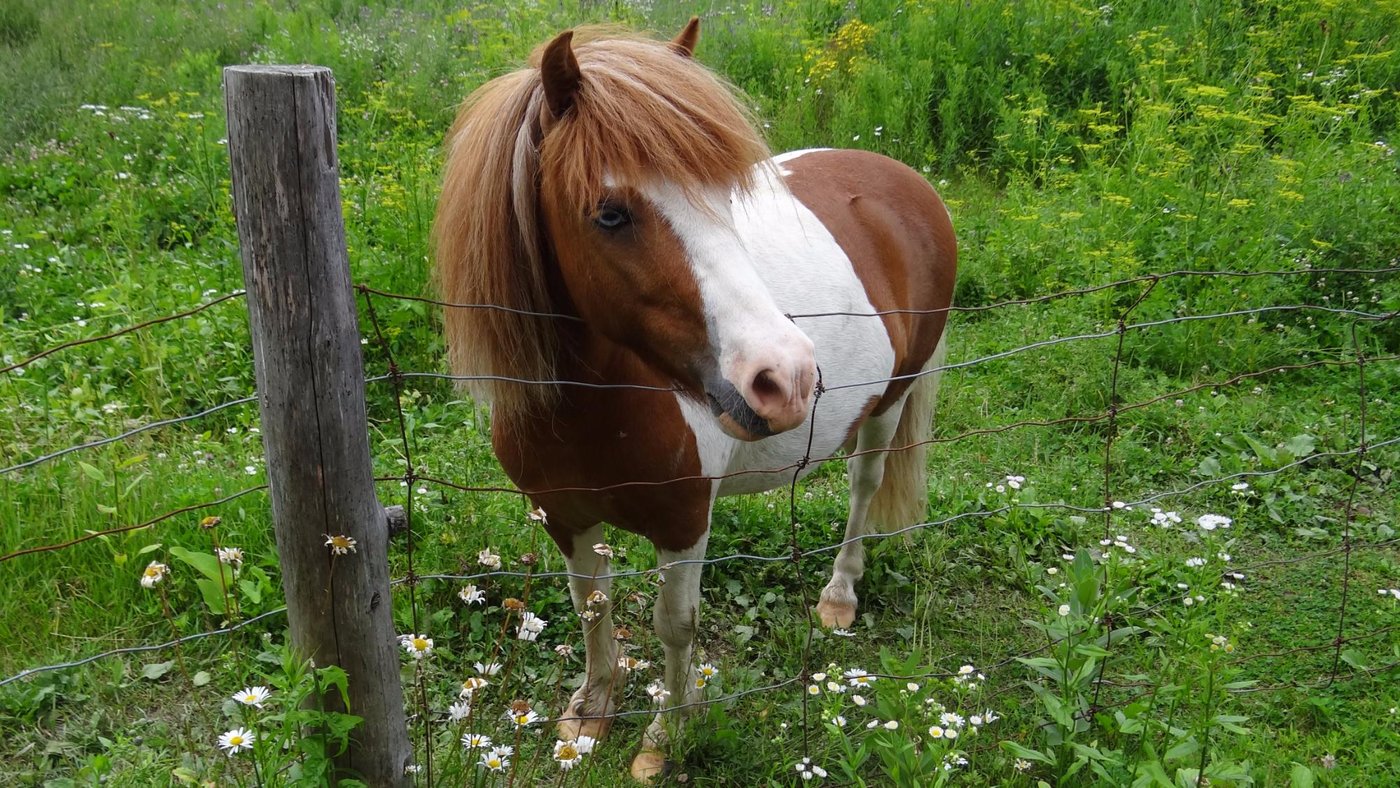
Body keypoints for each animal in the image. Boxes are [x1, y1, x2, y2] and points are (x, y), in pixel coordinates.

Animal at [434, 18, 963, 783]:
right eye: (610, 214)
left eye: (727, 197)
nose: (787, 377)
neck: (594, 403)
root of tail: (908, 182)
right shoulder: (563, 516)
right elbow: (590, 606)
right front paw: (591, 711)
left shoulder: (684, 524)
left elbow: (674, 626)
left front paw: (666, 734)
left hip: (891, 401)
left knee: (865, 486)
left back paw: (839, 596)